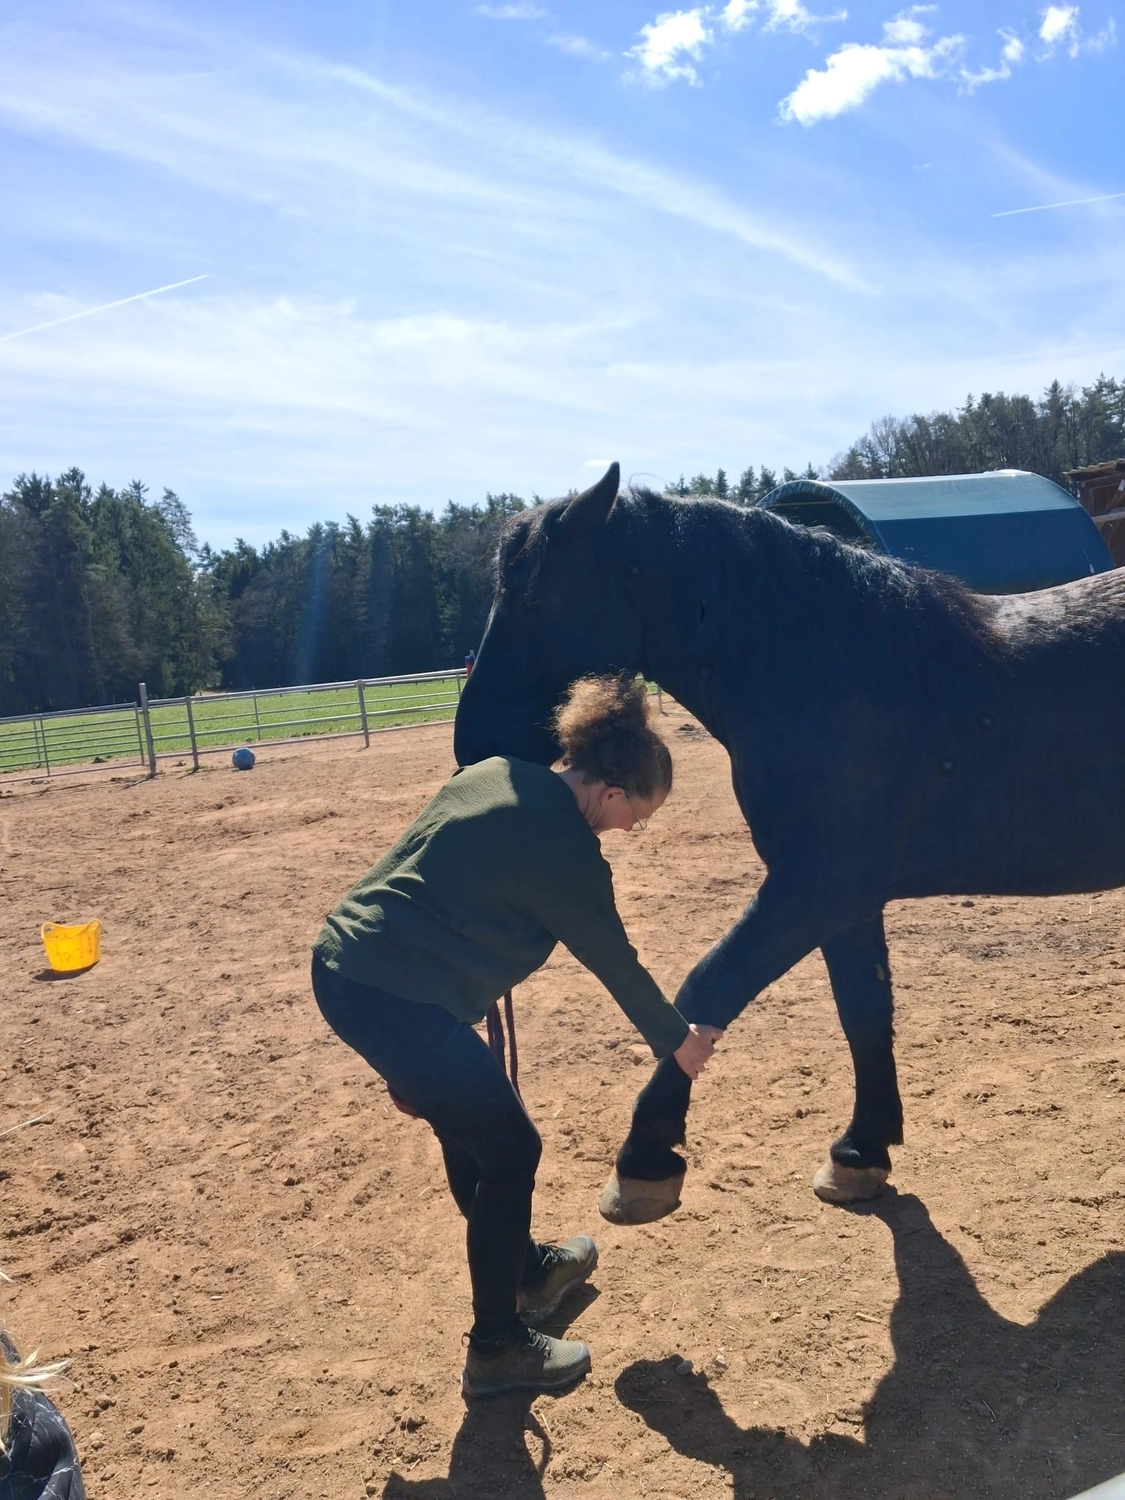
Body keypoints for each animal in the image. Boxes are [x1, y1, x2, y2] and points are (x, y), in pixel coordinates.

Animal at [453, 462, 1125, 1218]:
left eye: (534, 596)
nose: (470, 744)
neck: (831, 677)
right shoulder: (847, 902)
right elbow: (862, 1011)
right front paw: (861, 1151)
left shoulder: (814, 887)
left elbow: (708, 986)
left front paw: (644, 1157)